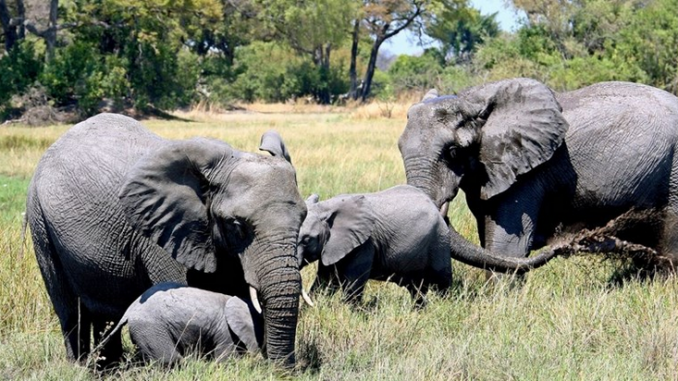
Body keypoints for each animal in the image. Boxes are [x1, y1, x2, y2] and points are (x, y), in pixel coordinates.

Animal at [298, 183, 452, 304]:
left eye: (307, 240)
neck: (325, 207)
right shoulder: (332, 246)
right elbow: (325, 279)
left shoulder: (365, 244)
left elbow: (353, 283)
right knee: (417, 289)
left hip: (439, 241)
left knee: (442, 283)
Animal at [402, 76, 678, 268]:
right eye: (400, 148)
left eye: (453, 152)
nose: (576, 241)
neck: (470, 101)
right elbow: (488, 244)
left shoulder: (527, 176)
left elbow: (506, 248)